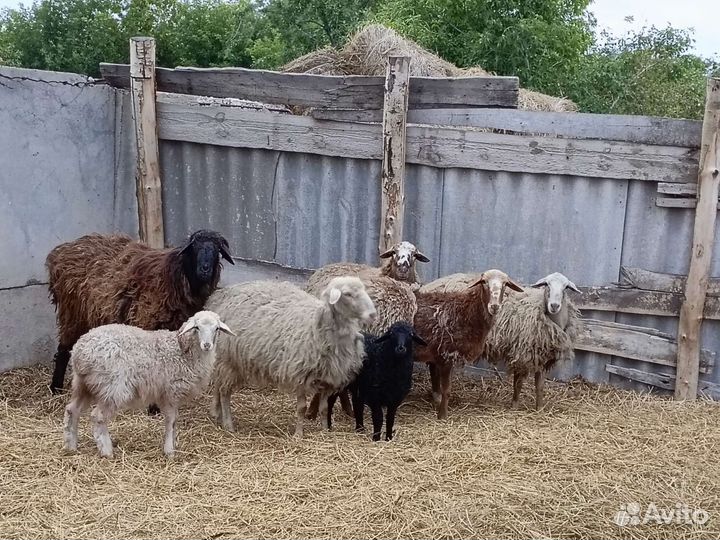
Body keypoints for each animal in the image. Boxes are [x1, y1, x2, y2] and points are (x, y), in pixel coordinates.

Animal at [46, 230, 234, 394]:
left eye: (217, 249)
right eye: (194, 246)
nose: (205, 269)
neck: (171, 276)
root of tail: (60, 252)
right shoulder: (150, 321)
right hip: (72, 313)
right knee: (63, 349)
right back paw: (56, 388)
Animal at [63, 311, 235, 458]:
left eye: (217, 328)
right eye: (197, 328)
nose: (207, 345)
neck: (183, 351)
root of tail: (79, 352)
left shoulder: (171, 395)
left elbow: (174, 421)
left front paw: (173, 445)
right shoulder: (171, 392)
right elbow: (171, 420)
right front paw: (169, 450)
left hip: (83, 384)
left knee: (72, 410)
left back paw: (71, 446)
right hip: (112, 388)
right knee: (98, 416)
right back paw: (106, 451)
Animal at [205, 276, 377, 437]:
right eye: (347, 294)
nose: (373, 315)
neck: (316, 327)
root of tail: (223, 294)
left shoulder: (329, 378)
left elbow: (324, 408)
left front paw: (324, 430)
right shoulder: (299, 374)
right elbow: (301, 408)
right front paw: (298, 434)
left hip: (225, 359)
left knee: (218, 384)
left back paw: (216, 413)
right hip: (229, 359)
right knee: (225, 392)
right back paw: (228, 424)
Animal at [414, 269, 524, 420]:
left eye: (505, 284)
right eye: (484, 282)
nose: (494, 306)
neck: (465, 311)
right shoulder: (446, 355)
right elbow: (446, 390)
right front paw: (443, 415)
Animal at [483, 272, 582, 410]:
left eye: (566, 287)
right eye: (547, 284)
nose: (554, 305)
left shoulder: (542, 356)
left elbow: (540, 386)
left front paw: (539, 408)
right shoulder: (521, 352)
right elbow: (518, 383)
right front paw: (514, 406)